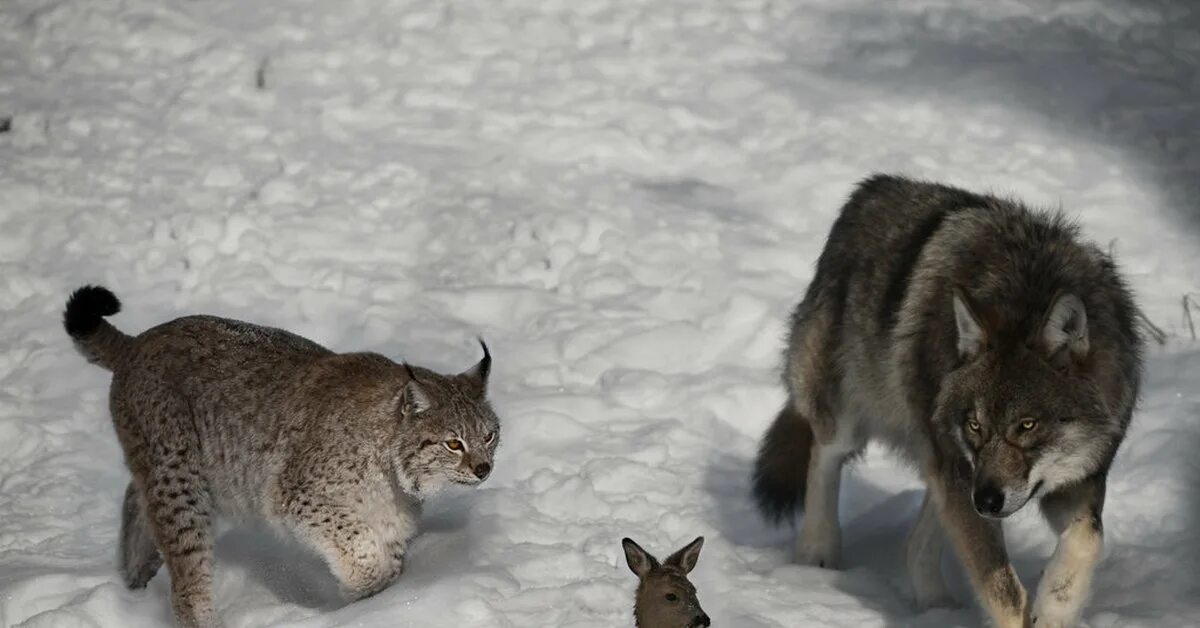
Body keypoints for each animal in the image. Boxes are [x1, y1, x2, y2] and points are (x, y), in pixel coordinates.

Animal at [62, 285, 501, 628]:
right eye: (453, 444)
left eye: (490, 435)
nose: (484, 469)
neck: (393, 470)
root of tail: (138, 341)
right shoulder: (293, 494)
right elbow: (358, 543)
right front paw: (360, 589)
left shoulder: (389, 518)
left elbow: (389, 564)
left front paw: (376, 605)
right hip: (180, 476)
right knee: (187, 580)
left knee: (134, 495)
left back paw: (135, 576)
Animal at [753, 175, 1137, 628]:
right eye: (975, 425)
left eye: (1026, 425)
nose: (986, 501)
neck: (1026, 287)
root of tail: (870, 189)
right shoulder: (964, 478)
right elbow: (1004, 592)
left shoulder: (1078, 480)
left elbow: (1088, 539)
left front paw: (1052, 612)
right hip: (858, 423)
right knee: (823, 456)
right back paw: (817, 556)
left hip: (944, 467)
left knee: (915, 543)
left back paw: (936, 605)